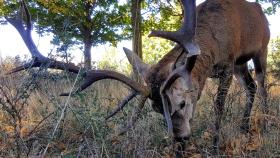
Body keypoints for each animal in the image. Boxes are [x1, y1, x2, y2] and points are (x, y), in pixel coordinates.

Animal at [6, 0, 270, 156]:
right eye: (156, 109)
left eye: (182, 103)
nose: (180, 139)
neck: (213, 44)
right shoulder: (226, 67)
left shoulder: (228, 62)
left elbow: (218, 106)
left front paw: (214, 147)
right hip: (241, 65)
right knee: (250, 86)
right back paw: (245, 127)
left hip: (260, 50)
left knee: (262, 85)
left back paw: (264, 123)